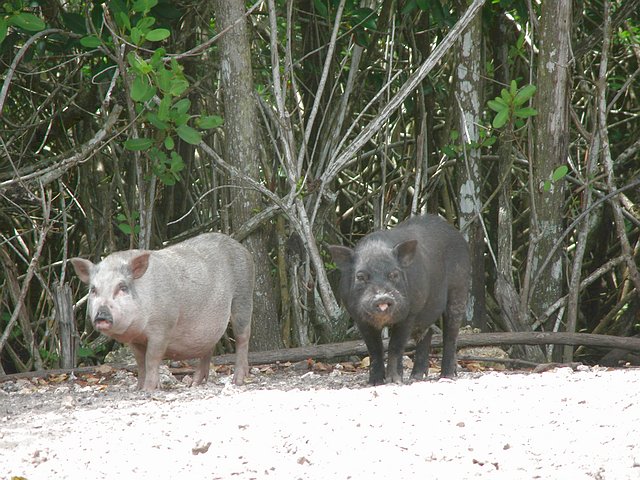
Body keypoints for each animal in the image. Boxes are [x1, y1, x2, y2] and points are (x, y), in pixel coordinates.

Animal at [330, 216, 470, 384]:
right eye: (360, 277)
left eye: (394, 274)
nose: (382, 296)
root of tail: (457, 234)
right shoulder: (359, 318)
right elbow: (374, 349)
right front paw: (375, 382)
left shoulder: (410, 313)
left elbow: (395, 346)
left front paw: (394, 380)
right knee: (427, 331)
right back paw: (416, 377)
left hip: (459, 287)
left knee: (451, 332)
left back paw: (447, 376)